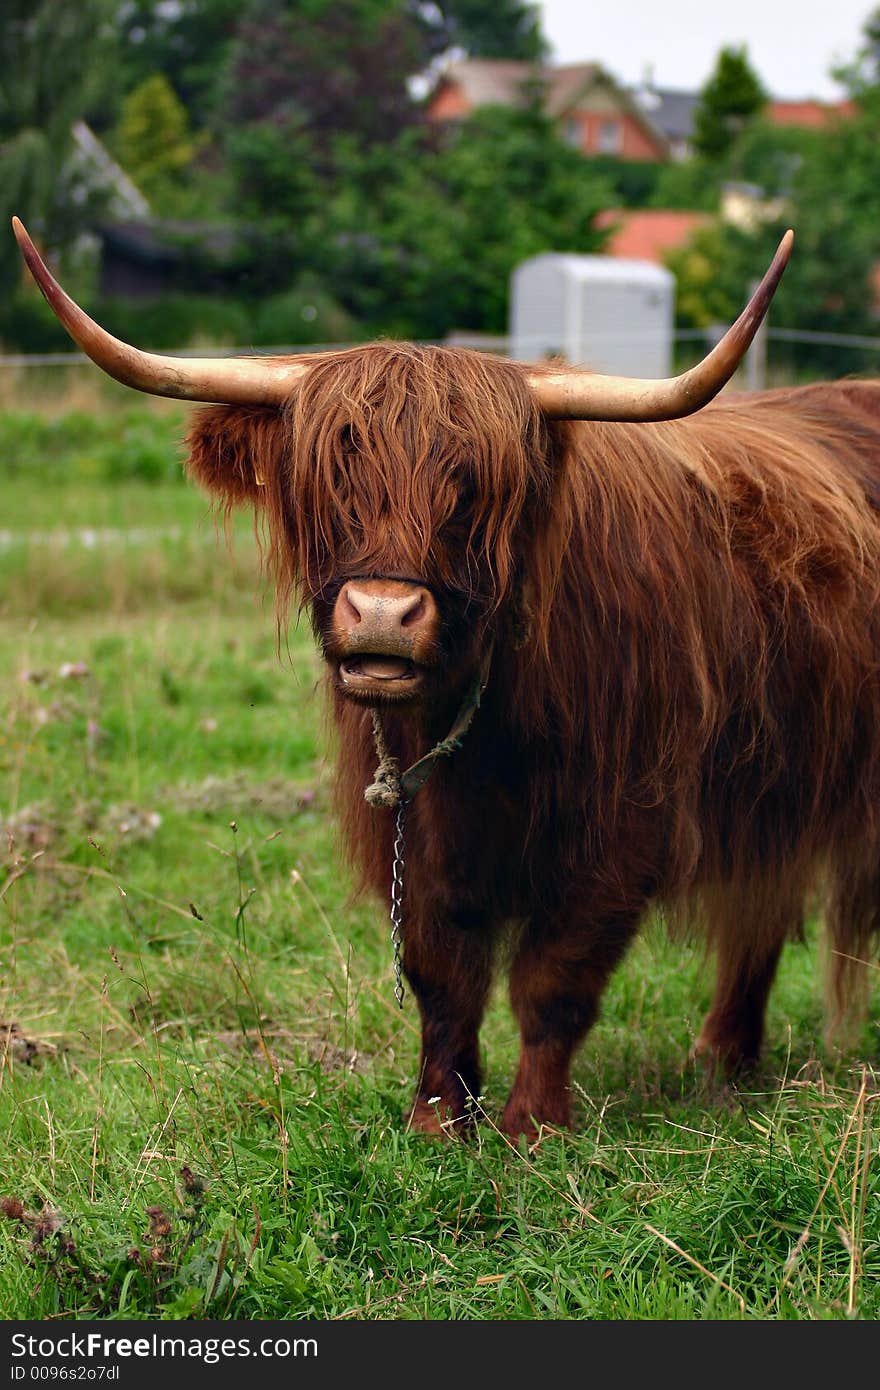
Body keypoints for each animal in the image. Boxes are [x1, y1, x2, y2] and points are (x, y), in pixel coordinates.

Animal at [11, 214, 878, 1128]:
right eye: (329, 481)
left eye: (471, 491)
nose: (382, 614)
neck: (482, 732)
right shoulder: (412, 837)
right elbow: (442, 978)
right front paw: (436, 1118)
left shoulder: (621, 832)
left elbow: (554, 982)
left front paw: (533, 1125)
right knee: (761, 911)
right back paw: (724, 1060)